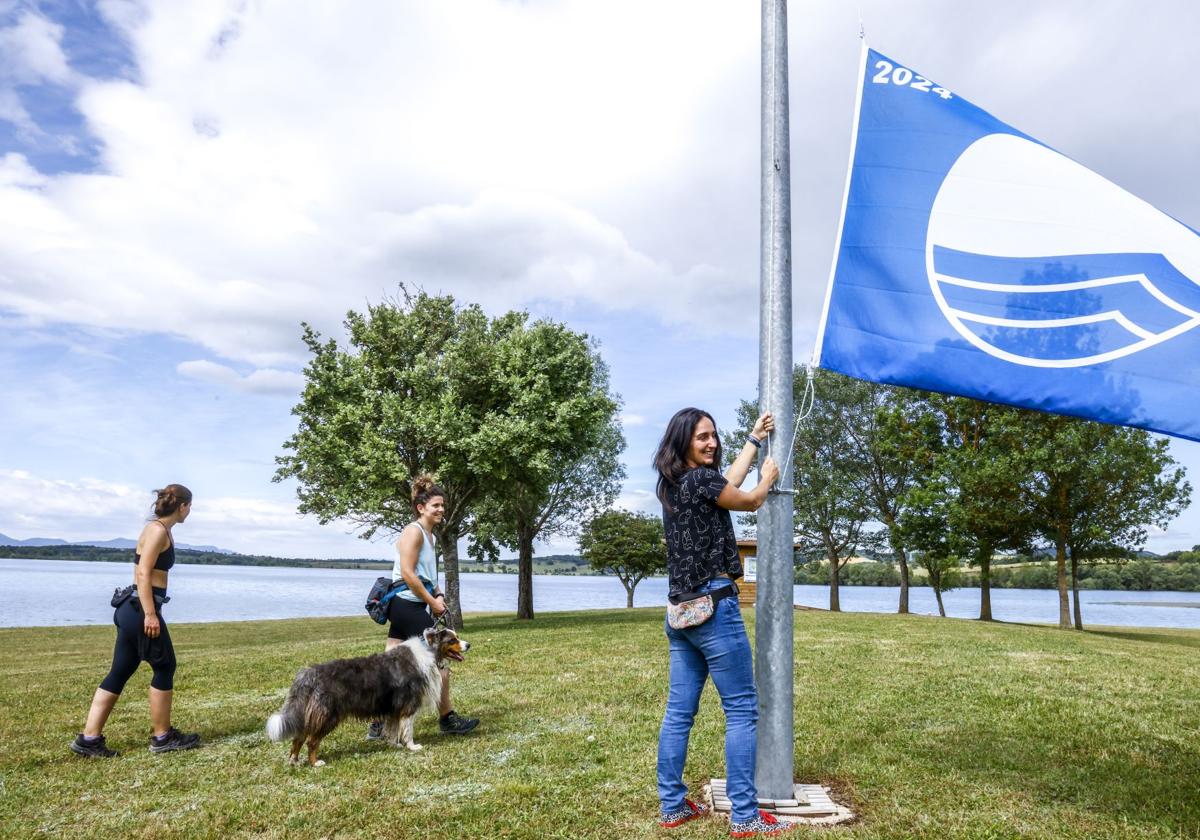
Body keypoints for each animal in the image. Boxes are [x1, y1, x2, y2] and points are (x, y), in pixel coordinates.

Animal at [266, 624, 468, 768]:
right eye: (453, 639)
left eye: (457, 637)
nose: (468, 644)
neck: (429, 651)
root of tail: (309, 673)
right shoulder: (408, 706)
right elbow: (407, 730)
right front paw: (412, 747)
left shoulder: (394, 707)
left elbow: (393, 729)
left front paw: (394, 745)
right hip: (328, 715)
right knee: (311, 740)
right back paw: (316, 763)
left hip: (312, 714)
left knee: (298, 737)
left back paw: (294, 761)